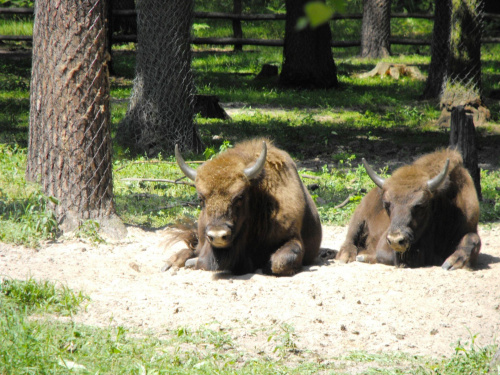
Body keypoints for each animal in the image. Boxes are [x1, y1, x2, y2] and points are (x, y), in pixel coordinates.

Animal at [162, 138, 322, 276]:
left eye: (240, 197)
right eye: (201, 199)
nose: (218, 235)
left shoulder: (293, 237)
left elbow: (279, 263)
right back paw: (170, 263)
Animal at [336, 150, 480, 270]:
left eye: (421, 205)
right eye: (387, 204)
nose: (396, 240)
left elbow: (473, 239)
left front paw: (453, 262)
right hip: (358, 218)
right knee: (349, 240)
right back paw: (348, 256)